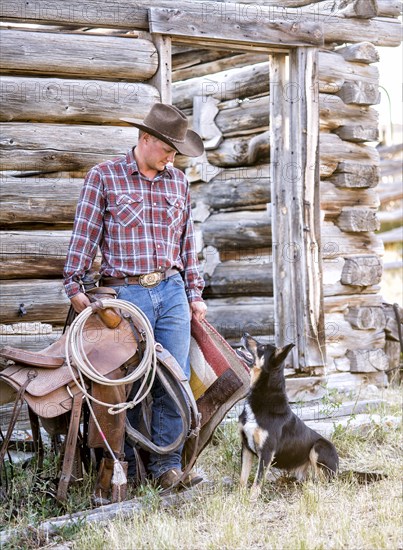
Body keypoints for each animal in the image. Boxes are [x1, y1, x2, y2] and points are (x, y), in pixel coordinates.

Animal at [238, 334, 340, 498]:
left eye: (262, 347)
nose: (245, 334)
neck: (263, 397)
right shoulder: (246, 447)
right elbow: (243, 478)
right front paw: (239, 498)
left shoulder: (266, 452)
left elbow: (257, 481)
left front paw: (252, 499)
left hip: (318, 447)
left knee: (324, 482)